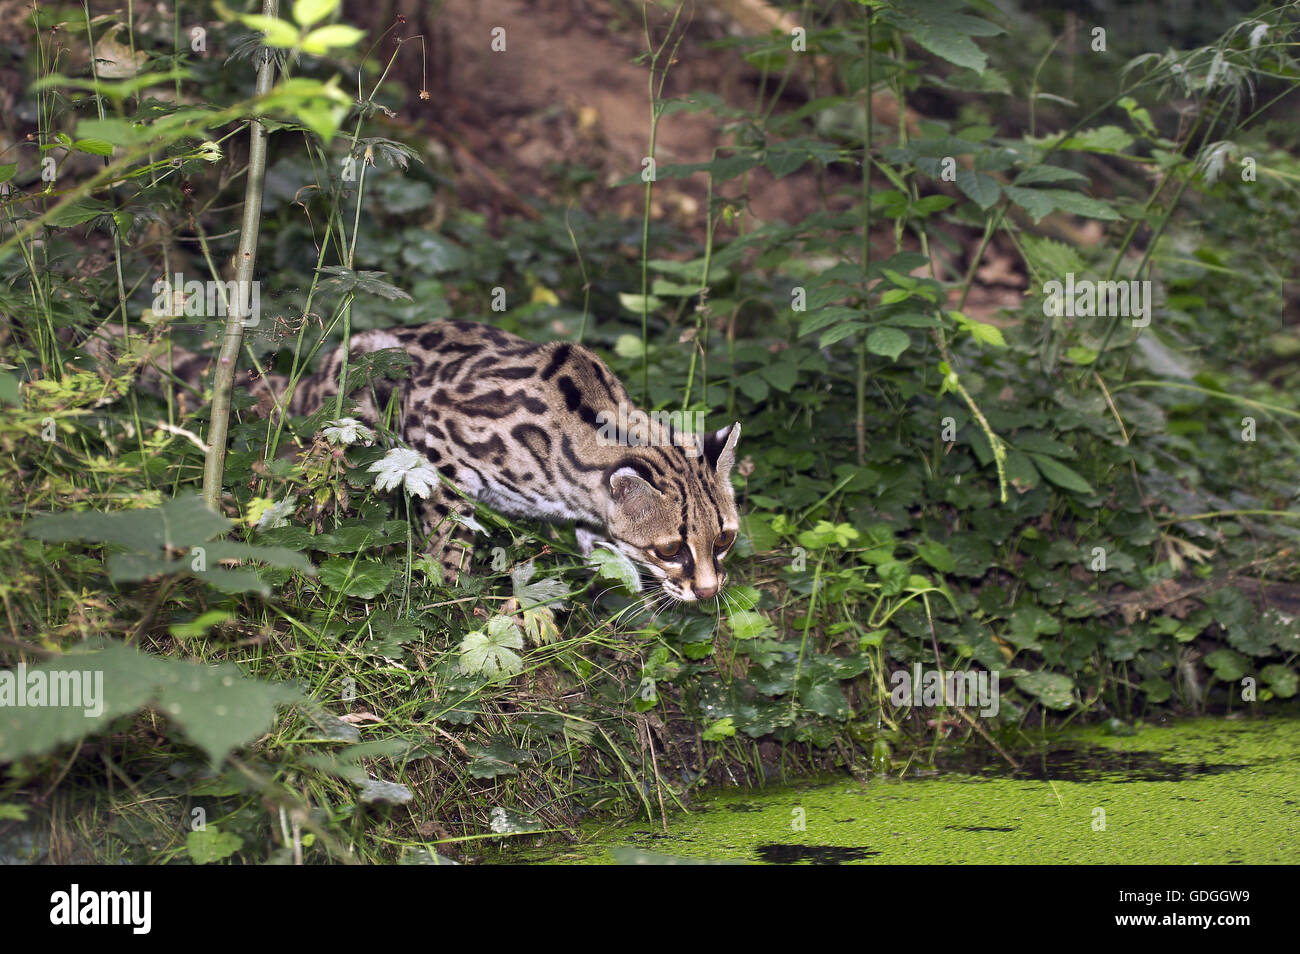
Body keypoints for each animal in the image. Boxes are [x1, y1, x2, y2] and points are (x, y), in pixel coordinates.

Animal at [135, 321, 748, 605]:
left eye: (724, 540)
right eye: (669, 550)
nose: (710, 593)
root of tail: (304, 384)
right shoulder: (441, 445)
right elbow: (449, 536)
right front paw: (450, 593)